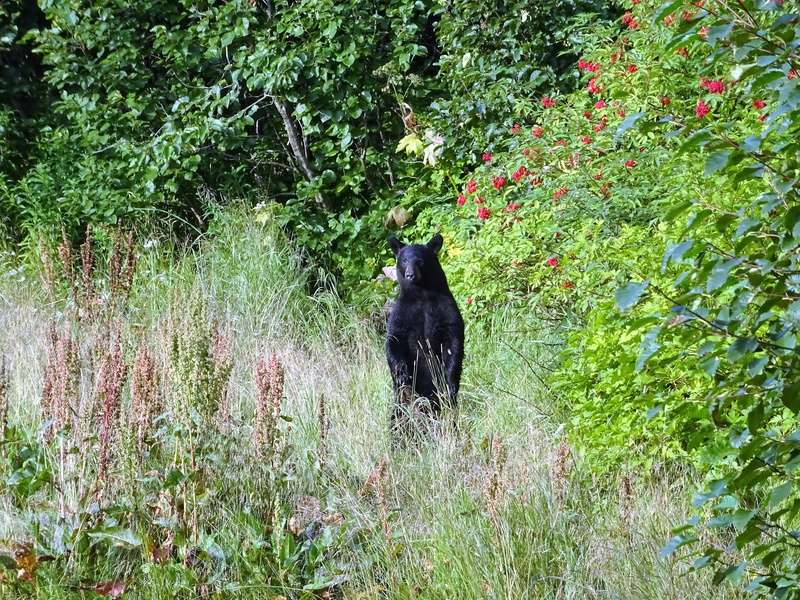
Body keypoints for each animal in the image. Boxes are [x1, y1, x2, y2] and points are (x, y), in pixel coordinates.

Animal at [386, 233, 466, 436]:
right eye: (404, 260)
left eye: (420, 261)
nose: (410, 275)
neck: (421, 295)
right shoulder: (401, 314)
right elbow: (394, 340)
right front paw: (401, 373)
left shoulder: (446, 310)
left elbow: (453, 341)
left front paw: (449, 379)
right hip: (401, 402)